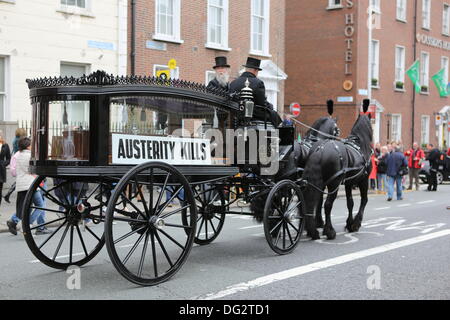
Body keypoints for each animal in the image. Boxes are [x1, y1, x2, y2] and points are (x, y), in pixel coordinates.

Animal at [302, 100, 372, 240]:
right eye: (337, 130)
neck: (360, 145)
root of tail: (321, 149)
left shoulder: (349, 182)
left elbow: (350, 202)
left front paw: (349, 223)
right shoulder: (364, 180)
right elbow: (364, 200)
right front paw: (356, 223)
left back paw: (313, 230)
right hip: (334, 183)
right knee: (328, 204)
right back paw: (329, 231)